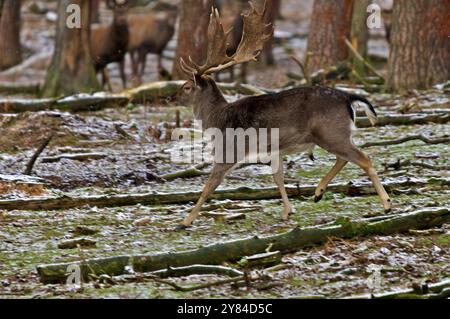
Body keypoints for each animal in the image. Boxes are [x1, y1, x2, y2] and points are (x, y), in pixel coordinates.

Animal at [175, 1, 390, 229]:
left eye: (187, 87)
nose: (170, 97)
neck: (216, 120)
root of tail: (349, 97)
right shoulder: (274, 150)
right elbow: (278, 177)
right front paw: (288, 211)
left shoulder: (229, 150)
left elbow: (209, 186)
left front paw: (185, 221)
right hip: (333, 135)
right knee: (345, 158)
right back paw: (318, 193)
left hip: (330, 132)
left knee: (364, 158)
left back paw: (386, 204)